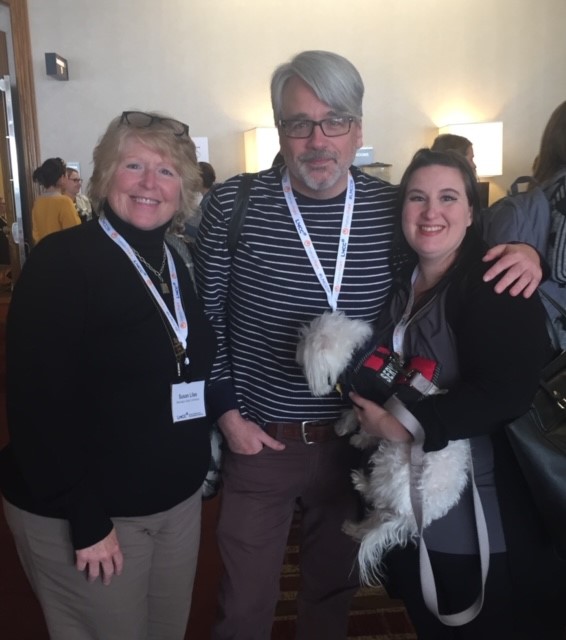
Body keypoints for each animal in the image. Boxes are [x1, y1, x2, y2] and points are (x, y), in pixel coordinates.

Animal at [298, 310, 474, 584]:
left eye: (304, 342)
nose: (295, 352)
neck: (360, 356)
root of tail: (414, 514)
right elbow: (352, 413)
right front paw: (344, 426)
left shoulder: (375, 407)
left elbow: (366, 426)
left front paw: (355, 437)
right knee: (375, 517)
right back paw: (354, 527)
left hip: (391, 460)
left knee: (376, 492)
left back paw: (361, 482)